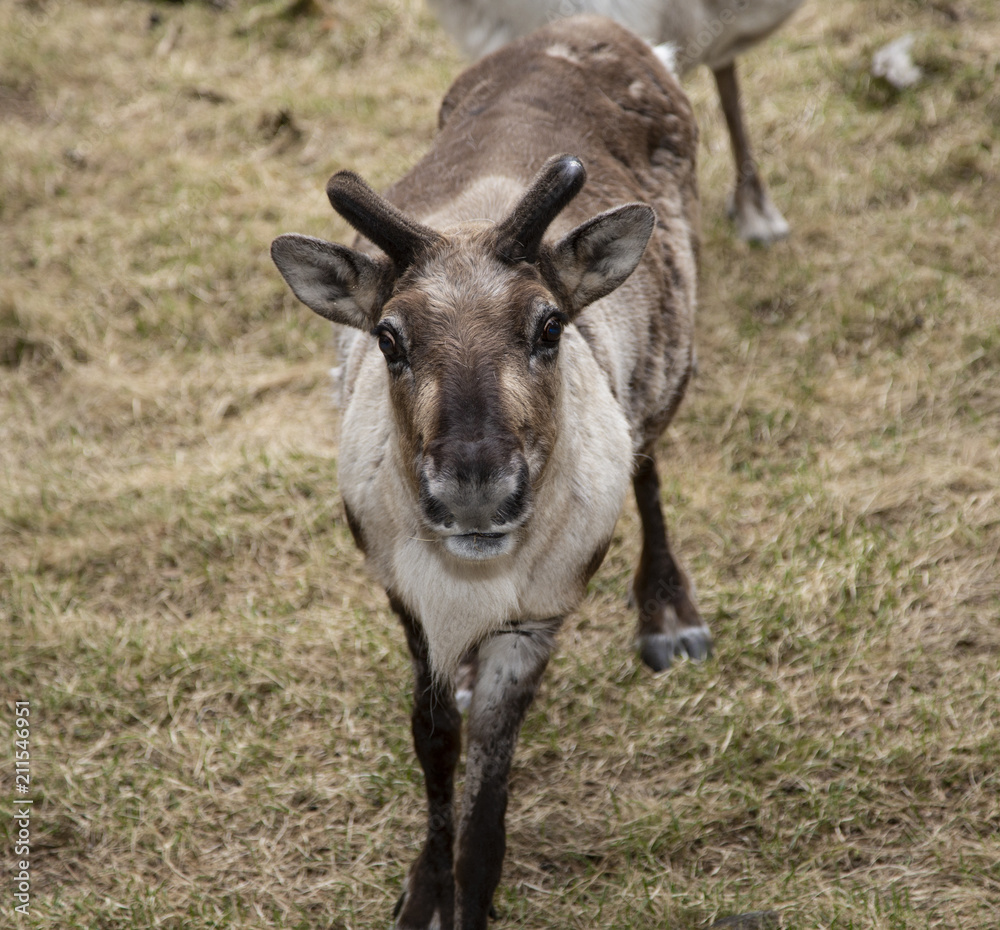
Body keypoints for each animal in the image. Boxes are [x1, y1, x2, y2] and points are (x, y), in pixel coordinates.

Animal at [270, 15, 707, 929]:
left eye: (549, 326)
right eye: (389, 337)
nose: (475, 490)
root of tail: (592, 23)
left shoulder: (536, 617)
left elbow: (490, 790)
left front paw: (464, 896)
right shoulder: (405, 599)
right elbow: (435, 746)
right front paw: (421, 891)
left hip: (672, 364)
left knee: (650, 463)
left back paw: (668, 613)